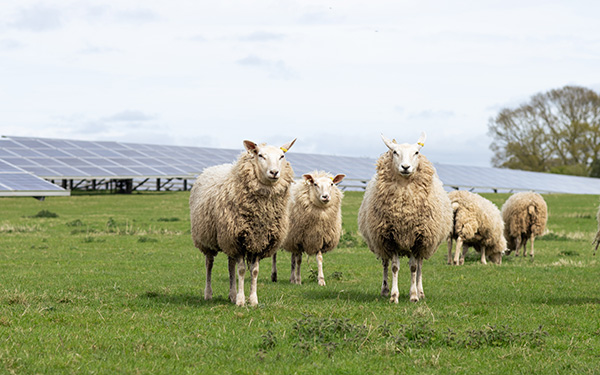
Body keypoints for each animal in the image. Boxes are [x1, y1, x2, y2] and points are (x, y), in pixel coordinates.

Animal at [190, 140, 296, 306]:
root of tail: (209, 169)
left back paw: (232, 295)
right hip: (207, 239)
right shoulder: (238, 239)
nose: (274, 172)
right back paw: (209, 293)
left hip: (228, 240)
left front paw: (252, 300)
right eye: (260, 155)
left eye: (282, 156)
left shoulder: (259, 241)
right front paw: (241, 300)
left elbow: (254, 271)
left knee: (230, 265)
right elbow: (241, 270)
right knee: (209, 264)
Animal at [356, 132, 450, 302]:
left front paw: (413, 295)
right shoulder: (390, 237)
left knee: (419, 266)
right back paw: (385, 290)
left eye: (417, 152)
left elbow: (413, 267)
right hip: (381, 241)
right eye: (395, 152)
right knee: (385, 264)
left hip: (424, 244)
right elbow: (394, 267)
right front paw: (394, 295)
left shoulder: (417, 238)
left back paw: (420, 291)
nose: (405, 167)